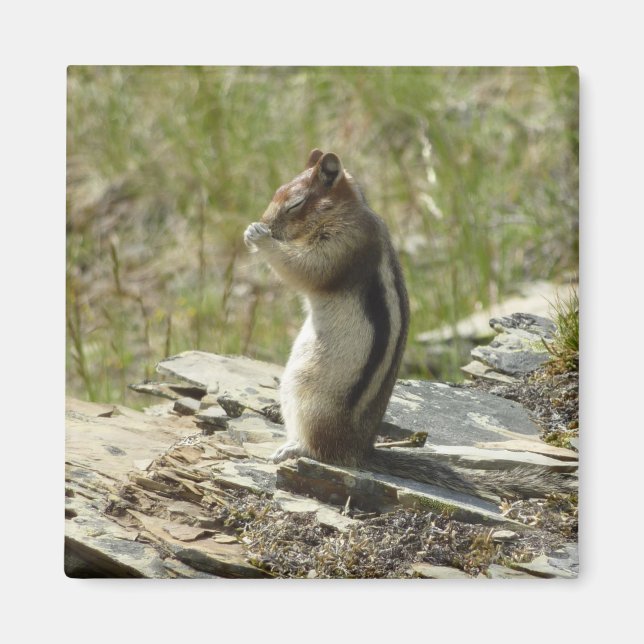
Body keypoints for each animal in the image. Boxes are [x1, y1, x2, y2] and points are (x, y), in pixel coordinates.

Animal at [244, 149, 573, 500]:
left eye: (294, 204)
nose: (266, 223)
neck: (346, 210)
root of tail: (359, 451)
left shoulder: (344, 243)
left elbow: (305, 268)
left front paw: (259, 237)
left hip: (307, 397)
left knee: (320, 450)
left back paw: (293, 448)